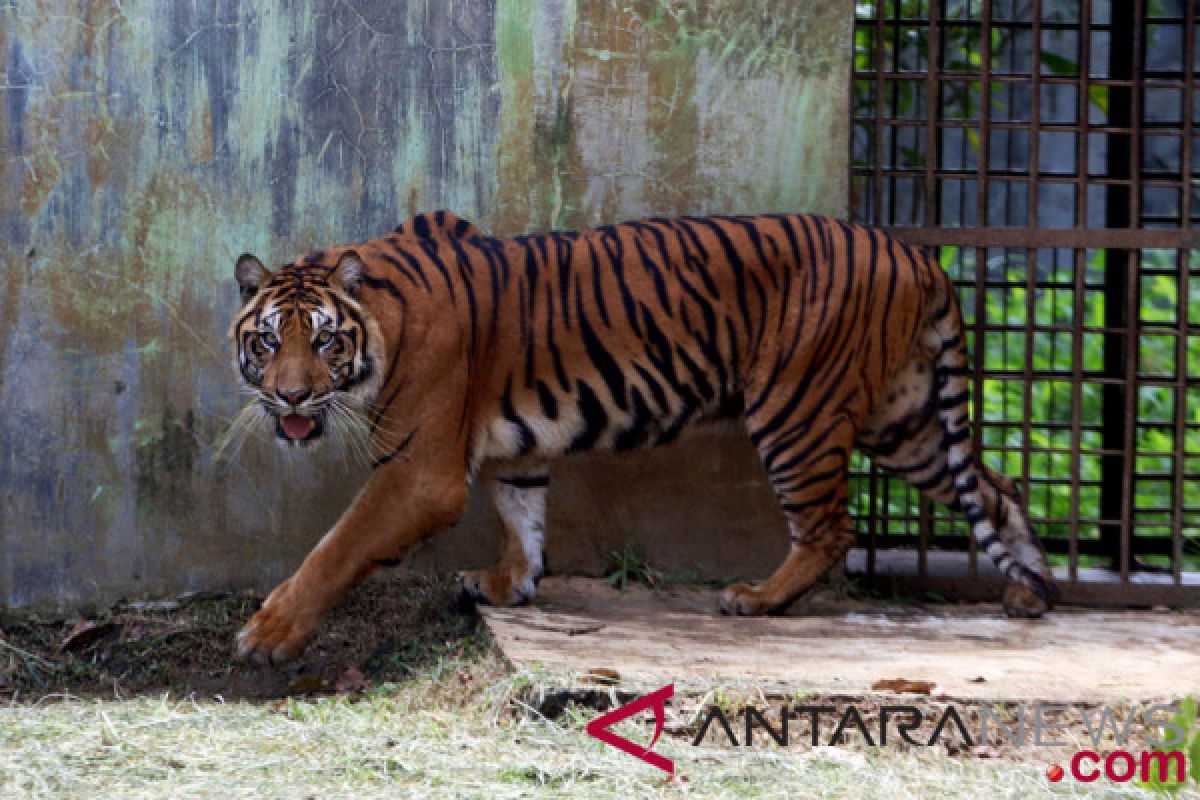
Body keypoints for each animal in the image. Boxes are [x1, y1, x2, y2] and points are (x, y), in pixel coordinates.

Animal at [229, 211, 1056, 662]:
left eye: (325, 341)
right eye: (268, 342)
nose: (290, 395)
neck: (381, 322)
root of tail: (916, 254)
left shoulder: (417, 470)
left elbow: (338, 547)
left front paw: (269, 634)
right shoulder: (514, 450)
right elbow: (523, 518)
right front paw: (508, 585)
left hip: (798, 408)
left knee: (830, 525)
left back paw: (758, 599)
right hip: (903, 418)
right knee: (999, 488)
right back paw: (1029, 591)